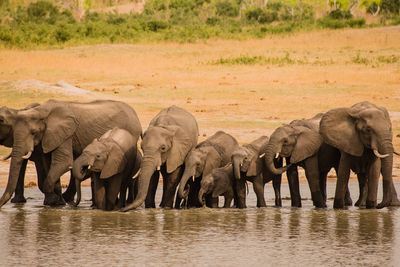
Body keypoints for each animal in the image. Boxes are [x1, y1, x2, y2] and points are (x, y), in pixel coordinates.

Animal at [0, 99, 142, 208]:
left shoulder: (65, 134)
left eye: (33, 132)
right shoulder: (48, 138)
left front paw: (54, 202)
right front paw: (56, 202)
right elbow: (48, 163)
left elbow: (63, 162)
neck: (42, 111)